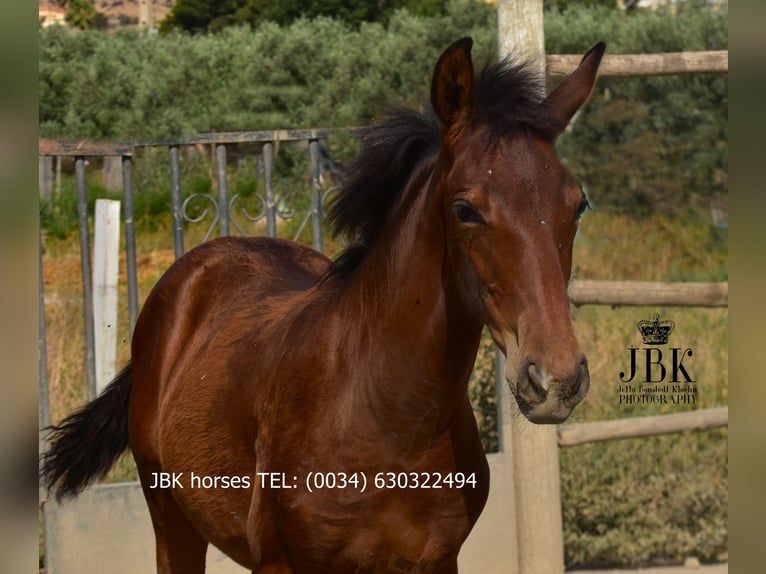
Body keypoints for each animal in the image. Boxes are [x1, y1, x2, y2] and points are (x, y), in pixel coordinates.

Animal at [42, 37, 605, 573]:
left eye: (578, 204)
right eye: (465, 209)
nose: (556, 378)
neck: (391, 426)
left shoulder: (437, 561)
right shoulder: (281, 563)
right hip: (171, 522)